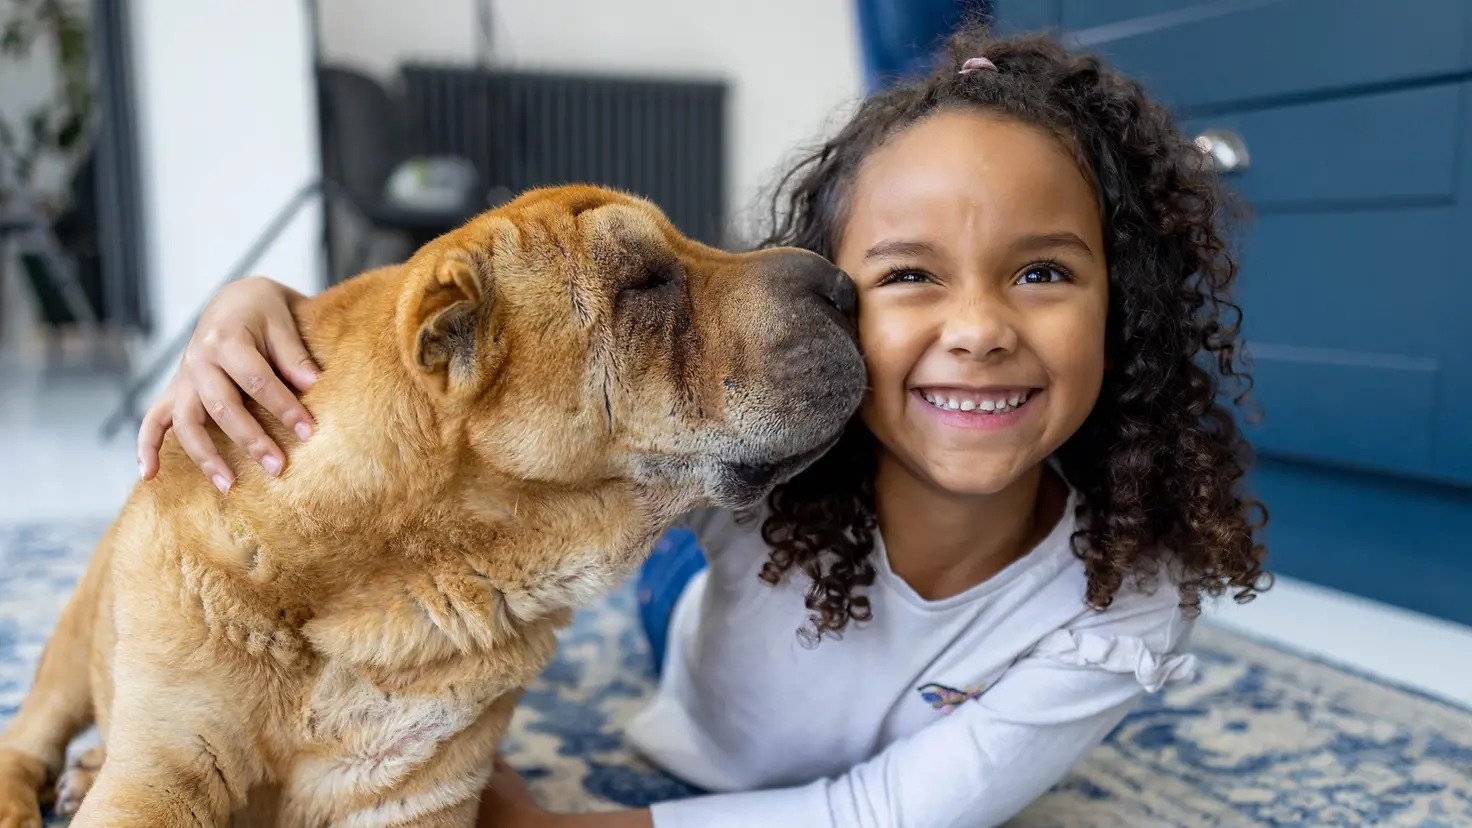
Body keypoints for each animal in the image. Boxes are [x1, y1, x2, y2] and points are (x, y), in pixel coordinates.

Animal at [0, 187, 859, 825]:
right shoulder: (162, 778)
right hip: (75, 636)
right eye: (644, 281)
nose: (844, 287)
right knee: (29, 734)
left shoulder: (416, 800)